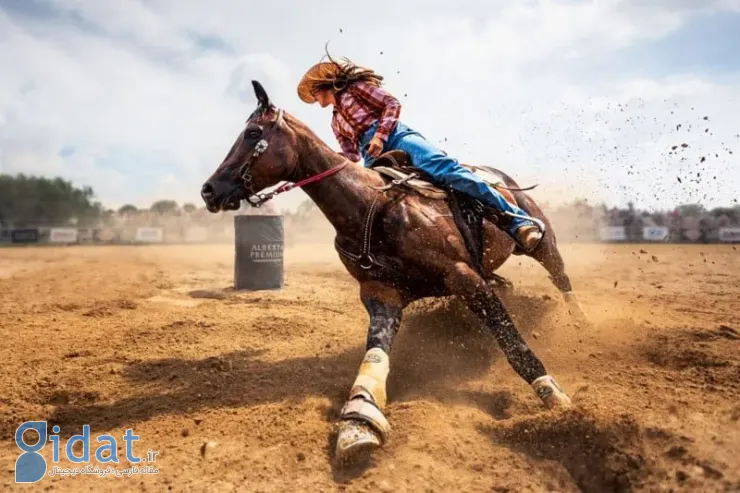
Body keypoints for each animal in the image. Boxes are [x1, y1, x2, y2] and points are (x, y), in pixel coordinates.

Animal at [201, 80, 584, 466]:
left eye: (253, 133)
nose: (209, 190)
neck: (370, 207)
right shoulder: (381, 295)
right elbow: (375, 356)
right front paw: (359, 421)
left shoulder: (465, 278)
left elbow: (514, 344)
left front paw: (557, 400)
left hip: (542, 242)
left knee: (560, 276)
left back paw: (580, 321)